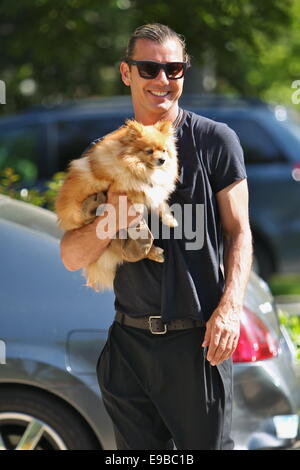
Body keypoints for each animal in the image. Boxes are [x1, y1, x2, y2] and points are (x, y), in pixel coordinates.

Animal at [54, 118, 178, 290]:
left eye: (164, 151)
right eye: (149, 151)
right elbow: (139, 195)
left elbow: (161, 204)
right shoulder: (124, 186)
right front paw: (139, 208)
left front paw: (170, 220)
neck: (140, 167)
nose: (162, 160)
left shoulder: (154, 190)